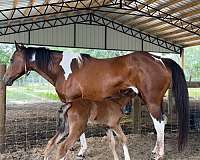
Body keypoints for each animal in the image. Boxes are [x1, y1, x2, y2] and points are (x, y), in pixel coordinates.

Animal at [3, 42, 189, 159]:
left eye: (12, 59)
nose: (5, 80)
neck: (63, 70)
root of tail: (161, 60)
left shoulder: (74, 101)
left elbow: (80, 131)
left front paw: (81, 151)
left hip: (152, 101)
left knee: (159, 123)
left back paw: (159, 154)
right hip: (152, 100)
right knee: (162, 121)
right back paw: (155, 150)